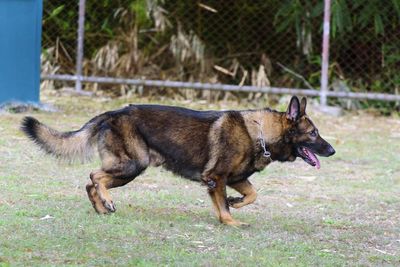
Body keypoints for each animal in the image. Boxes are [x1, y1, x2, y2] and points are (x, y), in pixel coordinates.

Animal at [21, 96, 334, 226]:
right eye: (314, 133)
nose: (332, 150)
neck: (259, 133)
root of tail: (114, 112)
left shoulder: (234, 179)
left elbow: (252, 194)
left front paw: (235, 204)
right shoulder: (217, 178)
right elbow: (223, 207)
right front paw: (230, 222)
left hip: (125, 168)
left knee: (90, 181)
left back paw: (100, 207)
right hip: (132, 165)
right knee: (95, 177)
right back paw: (106, 201)